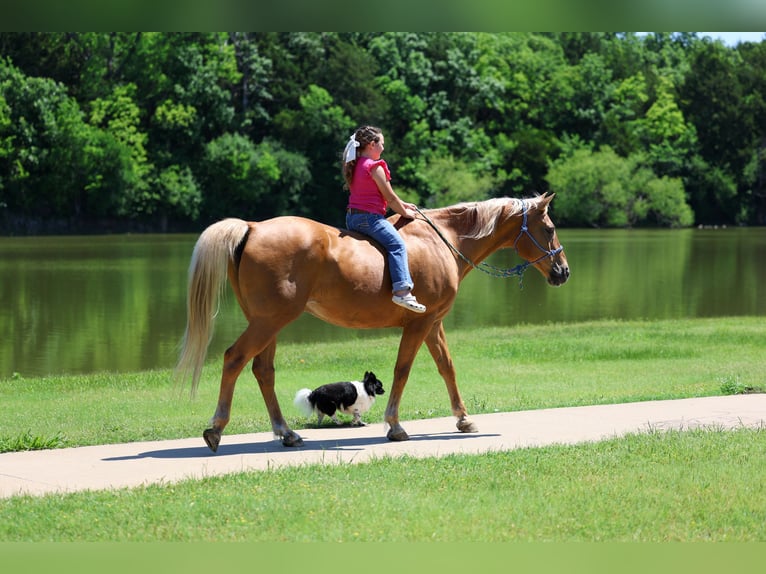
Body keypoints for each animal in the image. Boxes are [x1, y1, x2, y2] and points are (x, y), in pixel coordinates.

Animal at [175, 193, 569, 452]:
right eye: (549, 228)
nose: (563, 271)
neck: (442, 241)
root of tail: (252, 228)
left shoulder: (433, 324)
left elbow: (447, 367)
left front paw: (462, 419)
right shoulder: (418, 326)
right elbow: (403, 370)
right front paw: (394, 425)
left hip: (267, 323)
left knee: (262, 371)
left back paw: (286, 433)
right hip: (269, 321)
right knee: (234, 359)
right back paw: (216, 429)